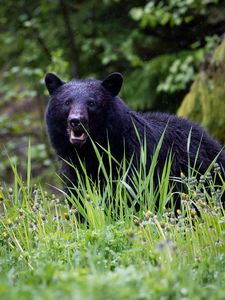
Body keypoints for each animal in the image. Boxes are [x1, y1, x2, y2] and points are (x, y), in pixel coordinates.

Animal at [44, 73, 225, 209]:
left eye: (91, 103)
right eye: (67, 102)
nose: (76, 121)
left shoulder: (138, 162)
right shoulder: (73, 171)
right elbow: (80, 200)